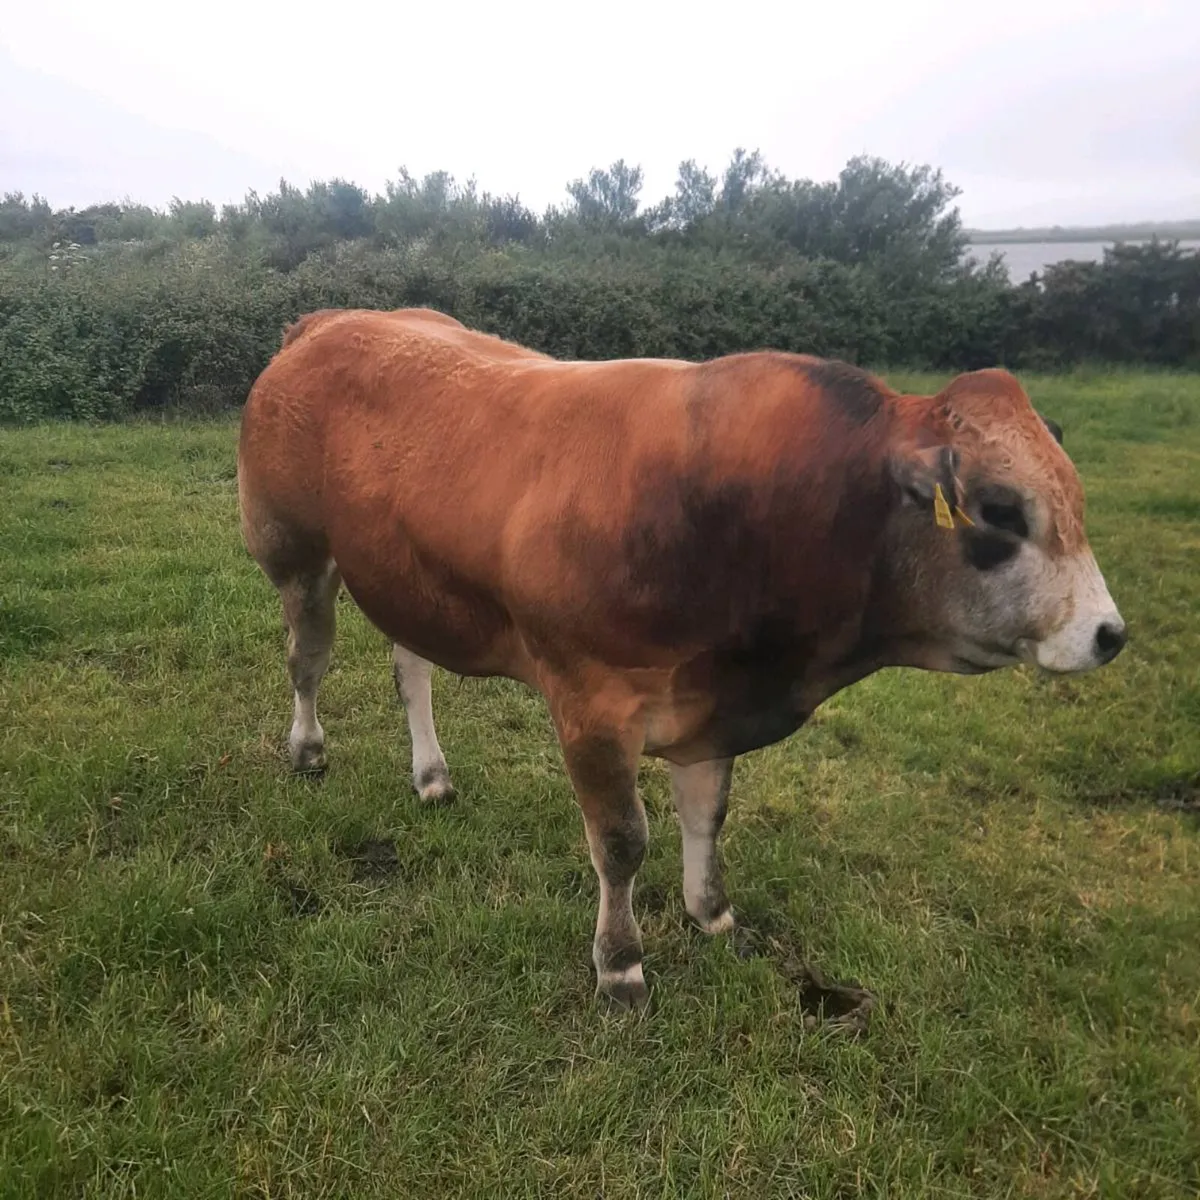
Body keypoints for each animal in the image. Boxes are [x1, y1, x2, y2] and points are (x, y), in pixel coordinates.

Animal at [237, 307, 1126, 1010]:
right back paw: (307, 749)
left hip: (407, 577)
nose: (1108, 633)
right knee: (307, 660)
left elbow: (707, 813)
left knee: (411, 667)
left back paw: (430, 772)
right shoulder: (592, 706)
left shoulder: (713, 700)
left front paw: (713, 916)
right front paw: (621, 966)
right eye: (1001, 510)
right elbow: (622, 841)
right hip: (294, 551)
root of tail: (329, 321)